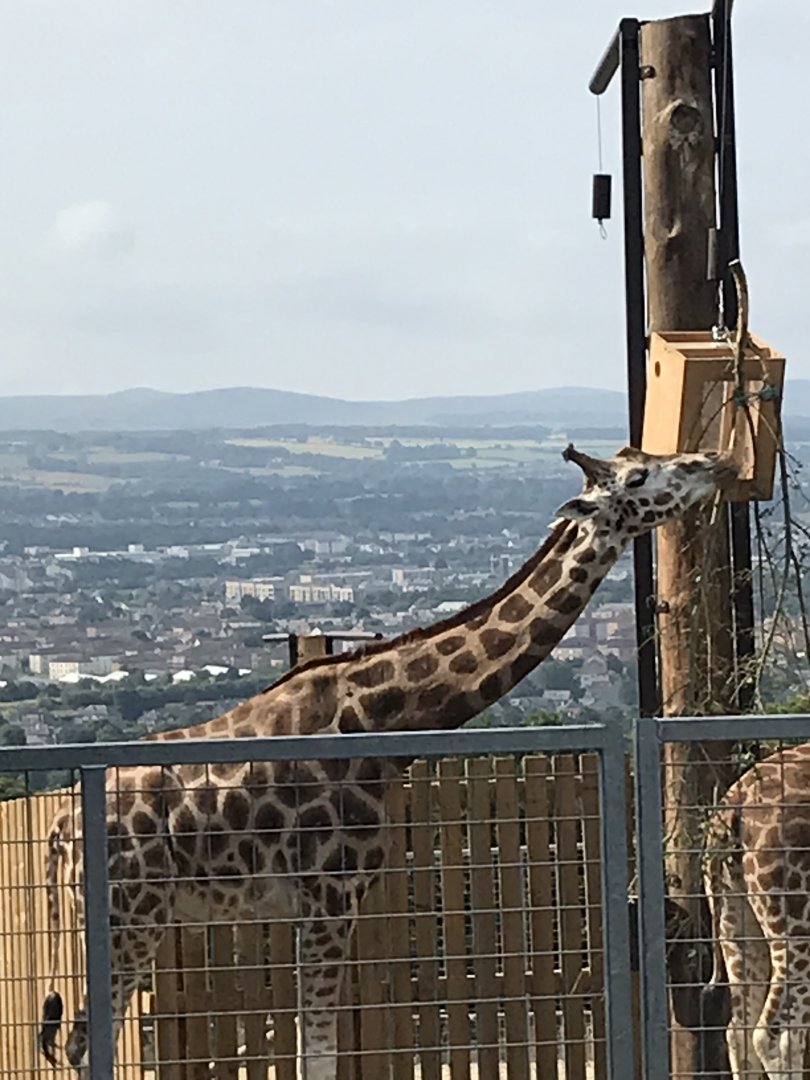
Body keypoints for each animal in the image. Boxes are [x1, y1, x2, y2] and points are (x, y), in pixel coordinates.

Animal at [39, 442, 735, 1079]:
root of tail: (58, 830)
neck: (380, 718)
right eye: (639, 476)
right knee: (81, 1041)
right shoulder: (329, 893)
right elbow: (316, 1056)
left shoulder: (324, 903)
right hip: (131, 916)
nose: (713, 462)